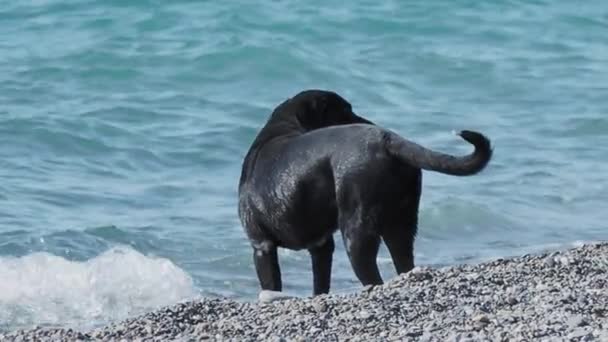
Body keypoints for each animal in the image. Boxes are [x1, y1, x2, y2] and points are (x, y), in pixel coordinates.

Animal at [238, 89, 494, 296]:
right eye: (346, 110)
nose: (371, 121)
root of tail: (388, 140)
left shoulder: (261, 245)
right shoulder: (321, 246)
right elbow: (320, 283)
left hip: (357, 232)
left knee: (372, 275)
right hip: (401, 225)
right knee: (404, 263)